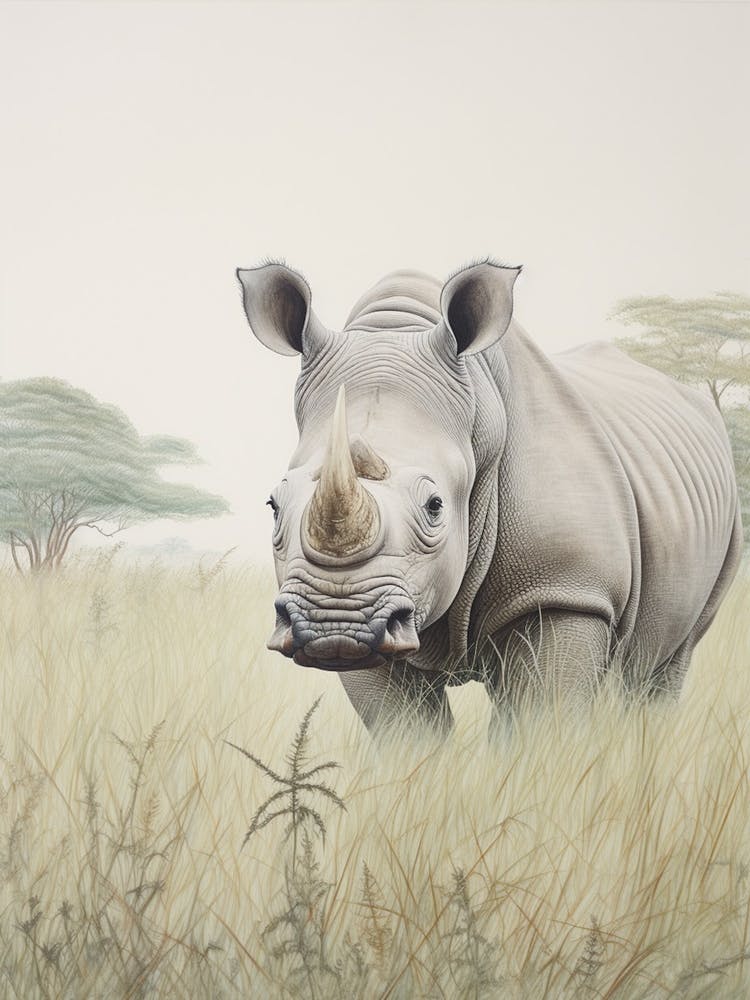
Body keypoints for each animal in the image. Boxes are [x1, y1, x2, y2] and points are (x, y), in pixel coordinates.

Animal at [237, 259, 742, 734]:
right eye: (274, 506)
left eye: (435, 507)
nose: (334, 623)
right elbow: (406, 732)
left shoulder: (565, 589)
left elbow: (543, 720)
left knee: (664, 664)